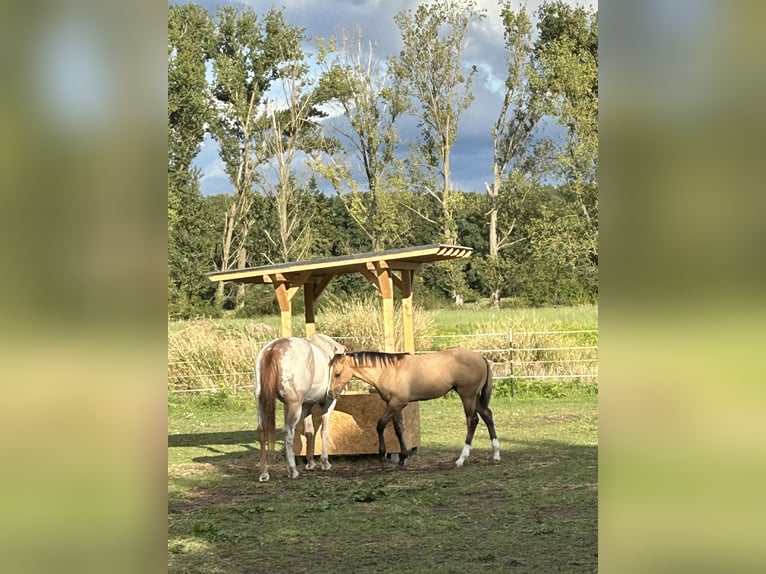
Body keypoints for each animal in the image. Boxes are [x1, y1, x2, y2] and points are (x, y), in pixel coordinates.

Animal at [254, 332, 346, 482]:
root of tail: (274, 349)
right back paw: (292, 470)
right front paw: (325, 462)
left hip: (261, 403)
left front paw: (310, 462)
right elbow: (324, 431)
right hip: (294, 406)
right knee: (288, 431)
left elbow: (309, 432)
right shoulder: (327, 404)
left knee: (262, 431)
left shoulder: (306, 405)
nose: (337, 392)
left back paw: (264, 473)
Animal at [332, 348, 504, 470]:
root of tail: (480, 357)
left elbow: (380, 425)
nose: (331, 392)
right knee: (487, 415)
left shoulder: (397, 404)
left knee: (472, 420)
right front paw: (403, 458)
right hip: (474, 398)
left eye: (337, 373)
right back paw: (496, 454)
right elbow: (398, 429)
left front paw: (382, 457)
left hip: (467, 395)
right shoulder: (394, 404)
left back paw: (461, 459)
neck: (389, 371)